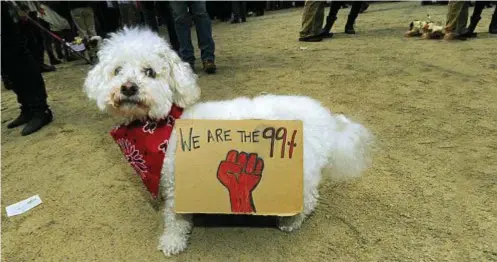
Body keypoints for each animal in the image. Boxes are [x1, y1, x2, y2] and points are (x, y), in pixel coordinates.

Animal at [83, 26, 374, 256]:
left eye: (150, 72)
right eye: (117, 71)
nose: (128, 87)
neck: (160, 126)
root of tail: (328, 120)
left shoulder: (176, 184)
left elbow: (175, 219)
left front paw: (172, 241)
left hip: (300, 171)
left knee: (309, 198)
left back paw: (291, 221)